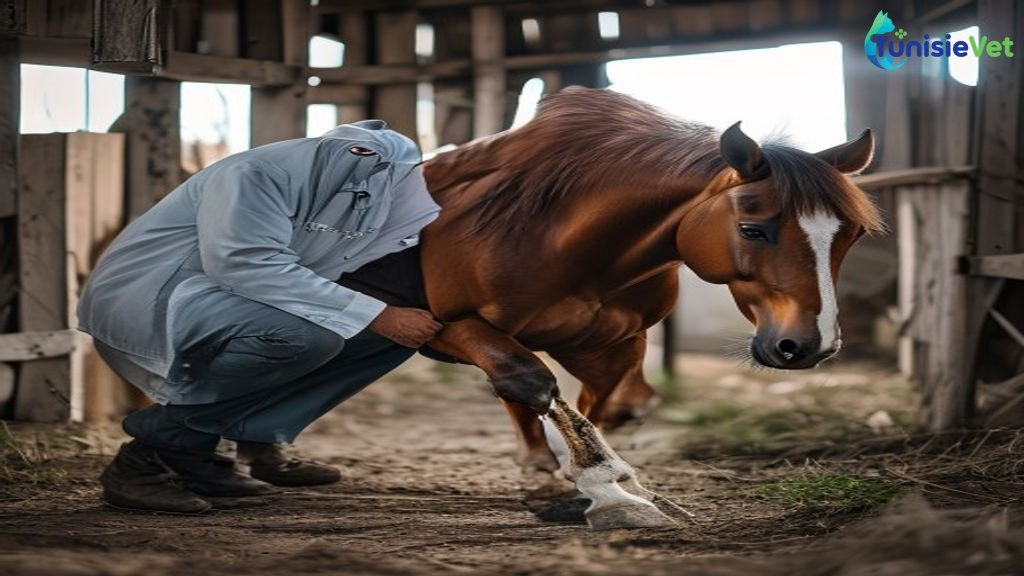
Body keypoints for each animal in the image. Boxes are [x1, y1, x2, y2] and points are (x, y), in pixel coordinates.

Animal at [418, 86, 882, 475]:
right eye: (752, 230)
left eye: (854, 234)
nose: (811, 344)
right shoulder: (446, 329)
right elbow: (524, 382)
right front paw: (546, 472)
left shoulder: (611, 347)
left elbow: (597, 408)